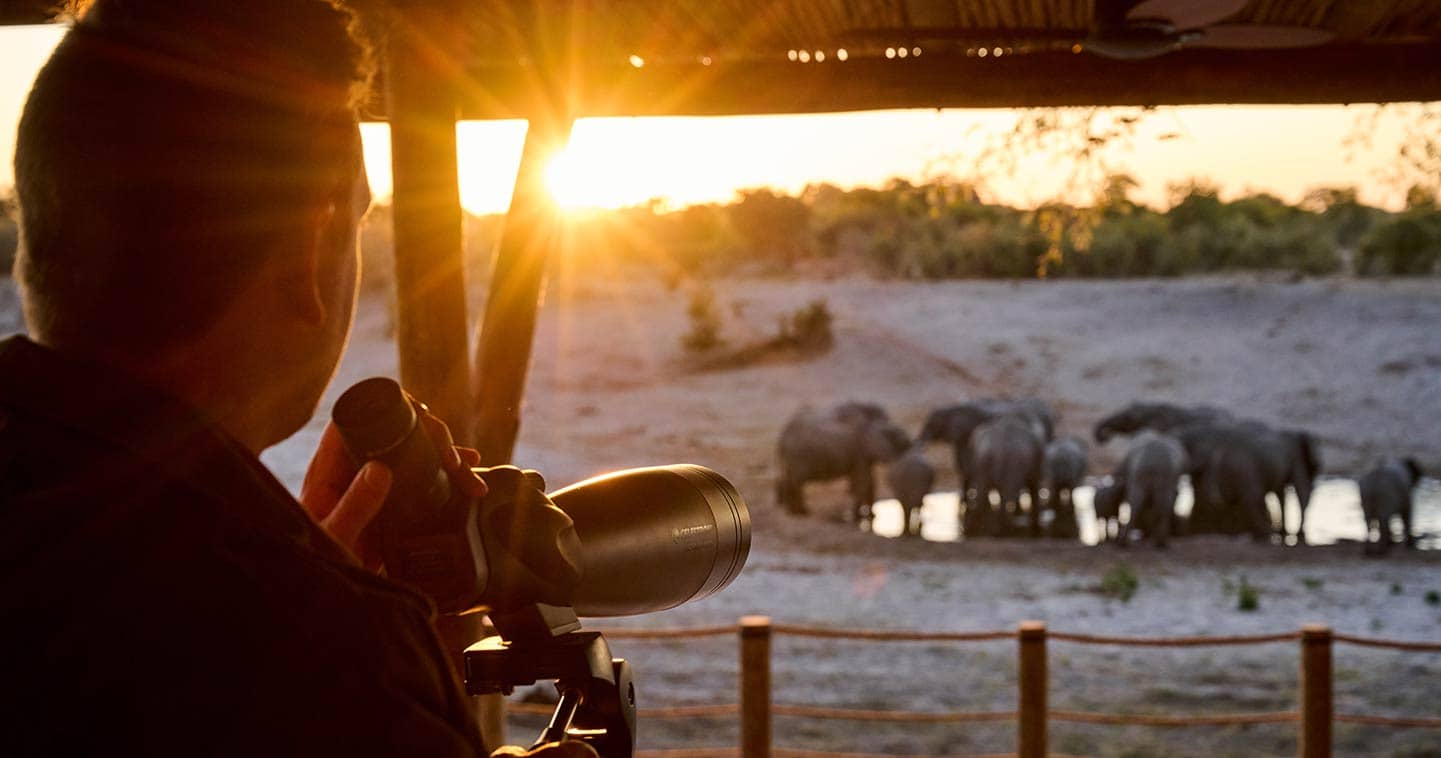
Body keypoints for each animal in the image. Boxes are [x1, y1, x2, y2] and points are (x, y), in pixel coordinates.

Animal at [778, 403, 910, 524]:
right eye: (892, 436)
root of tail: (783, 436)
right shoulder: (859, 450)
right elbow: (862, 482)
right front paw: (858, 518)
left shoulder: (861, 454)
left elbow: (869, 483)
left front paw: (872, 517)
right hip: (798, 455)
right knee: (796, 482)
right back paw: (802, 513)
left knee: (789, 480)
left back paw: (792, 512)